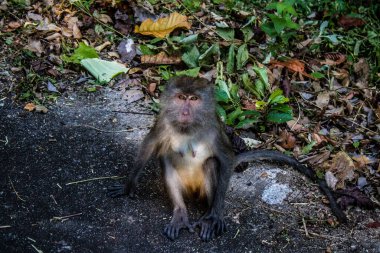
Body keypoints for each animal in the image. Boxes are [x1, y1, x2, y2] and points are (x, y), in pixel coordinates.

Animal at [107, 76, 348, 242]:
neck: (188, 128)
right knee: (166, 159)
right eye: (181, 98)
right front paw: (128, 186)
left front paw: (215, 216)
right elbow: (149, 147)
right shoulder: (164, 121)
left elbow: (226, 159)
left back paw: (209, 216)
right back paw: (181, 213)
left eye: (194, 99)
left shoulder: (214, 128)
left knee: (212, 164)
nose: (185, 111)